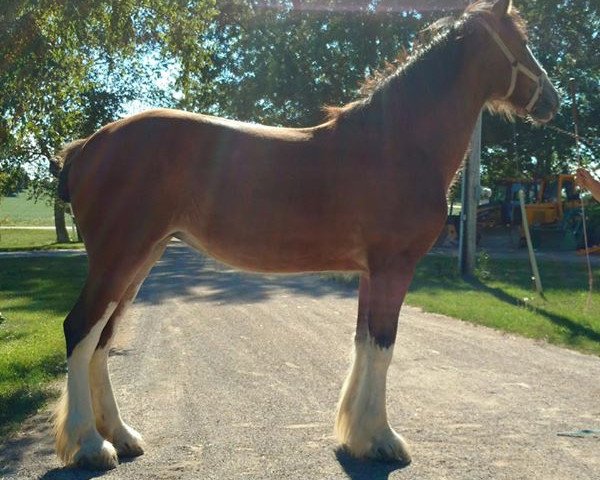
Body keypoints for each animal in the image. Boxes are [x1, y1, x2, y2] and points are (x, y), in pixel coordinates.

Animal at [54, 0, 560, 470]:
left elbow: (364, 343)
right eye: (520, 42)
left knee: (101, 340)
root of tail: (89, 145)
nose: (553, 101)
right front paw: (384, 440)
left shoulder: (371, 273)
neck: (397, 143)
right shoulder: (394, 268)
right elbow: (384, 346)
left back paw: (121, 435)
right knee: (80, 330)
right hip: (118, 260)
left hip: (140, 261)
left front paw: (359, 436)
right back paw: (90, 445)